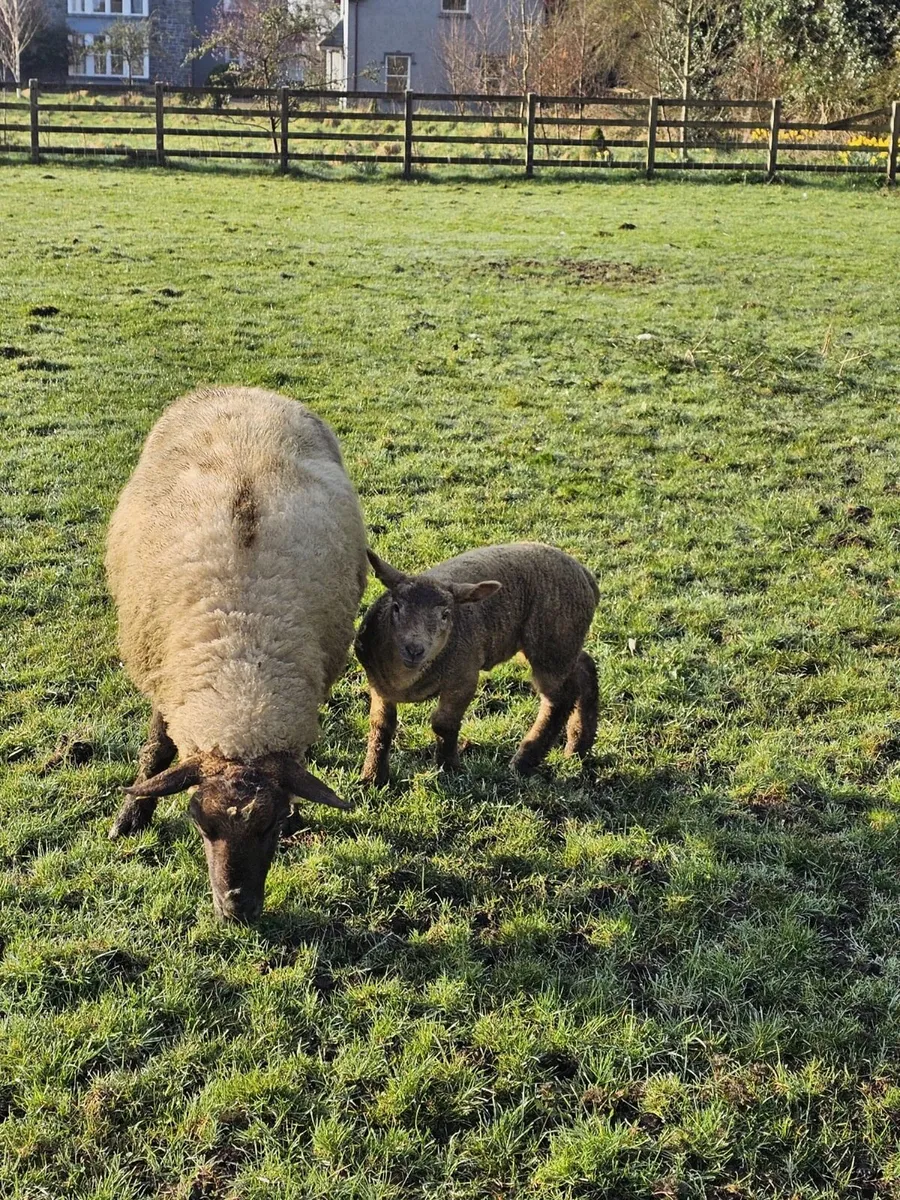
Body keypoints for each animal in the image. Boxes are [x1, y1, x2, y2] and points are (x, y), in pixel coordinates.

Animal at [106, 386, 368, 922]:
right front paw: (131, 817)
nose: (237, 910)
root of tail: (244, 389)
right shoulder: (166, 680)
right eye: (200, 825)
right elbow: (157, 750)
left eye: (274, 824)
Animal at [354, 542, 599, 784]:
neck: (405, 680)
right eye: (396, 607)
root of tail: (586, 575)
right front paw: (373, 776)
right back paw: (578, 745)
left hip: (551, 644)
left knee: (559, 700)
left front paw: (449, 768)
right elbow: (381, 725)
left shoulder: (464, 677)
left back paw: (524, 760)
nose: (414, 649)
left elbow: (443, 723)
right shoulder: (379, 685)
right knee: (584, 666)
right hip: (562, 644)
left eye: (445, 615)